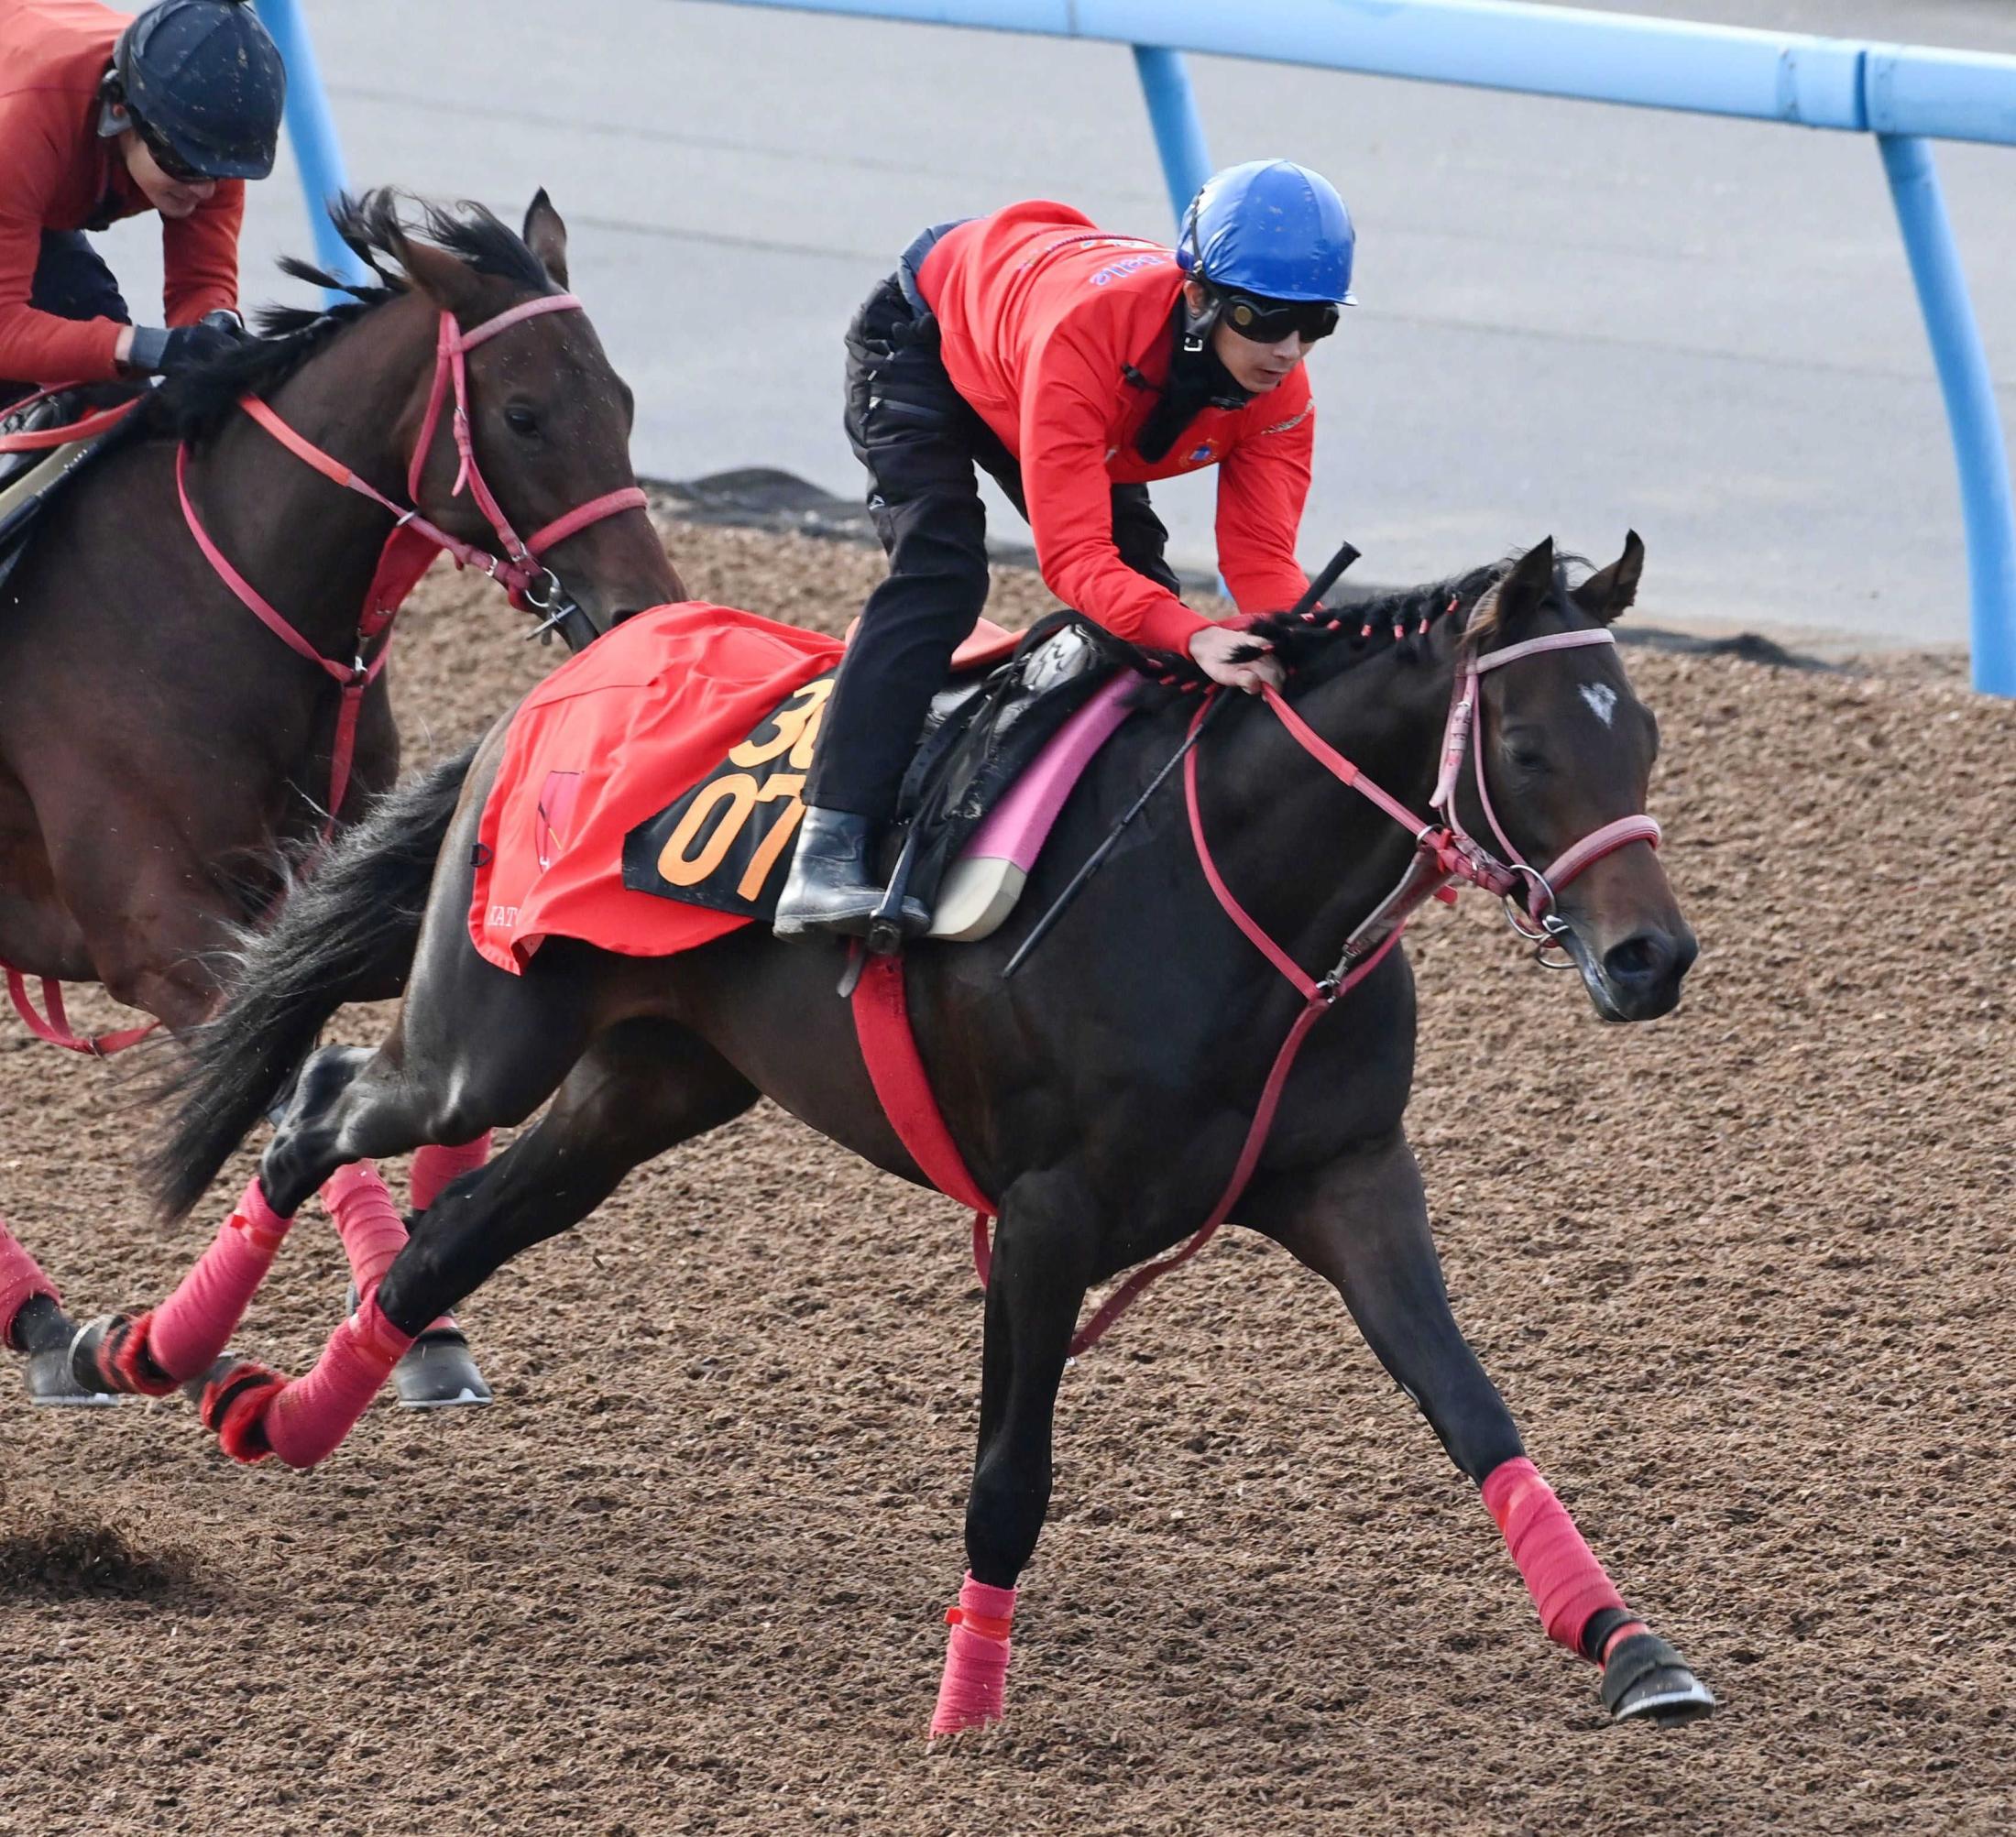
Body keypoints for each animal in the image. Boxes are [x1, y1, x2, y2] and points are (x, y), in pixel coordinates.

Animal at [0, 189, 683, 1404]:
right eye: (522, 415)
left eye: (622, 400)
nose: (640, 610)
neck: (208, 599)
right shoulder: (159, 939)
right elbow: (281, 1075)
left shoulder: (332, 892)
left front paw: (427, 1297)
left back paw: (40, 1322)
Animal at [139, 532, 1715, 1732]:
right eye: (1527, 744)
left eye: (1640, 736)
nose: (1652, 959)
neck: (1231, 904)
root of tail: (559, 683)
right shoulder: (1046, 1215)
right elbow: (1011, 1474)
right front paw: (969, 1706)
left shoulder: (1351, 1177)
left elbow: (1474, 1409)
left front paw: (1631, 1645)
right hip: (489, 1038)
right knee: (323, 1104)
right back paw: (157, 1348)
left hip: (652, 1082)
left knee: (448, 1243)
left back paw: (277, 1413)